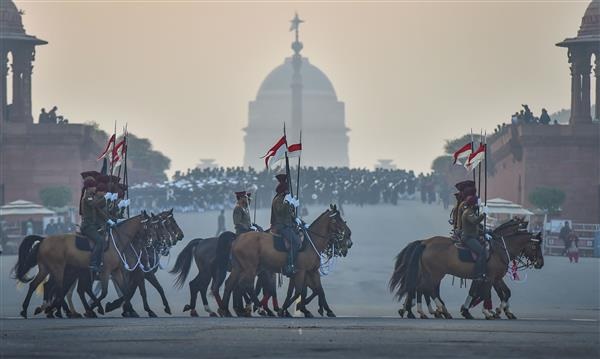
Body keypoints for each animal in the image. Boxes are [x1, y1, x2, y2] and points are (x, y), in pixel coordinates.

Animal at [13, 212, 157, 320]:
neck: (116, 241)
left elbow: (125, 291)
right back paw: (54, 309)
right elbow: (104, 292)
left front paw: (127, 309)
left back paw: (30, 309)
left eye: (153, 225)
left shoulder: (115, 271)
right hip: (58, 268)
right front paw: (97, 308)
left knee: (37, 285)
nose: (150, 241)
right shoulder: (105, 271)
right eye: (148, 225)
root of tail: (44, 239)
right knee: (58, 287)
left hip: (46, 268)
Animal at [218, 205, 354, 318]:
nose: (349, 236)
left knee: (231, 284)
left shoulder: (311, 272)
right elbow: (299, 291)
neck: (311, 242)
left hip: (239, 268)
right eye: (336, 219)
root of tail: (237, 240)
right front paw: (287, 309)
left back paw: (226, 310)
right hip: (250, 268)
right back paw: (257, 308)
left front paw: (324, 310)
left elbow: (318, 290)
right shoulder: (301, 272)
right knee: (246, 286)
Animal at [390, 219, 544, 320]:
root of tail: (425, 243)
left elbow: (504, 293)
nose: (540, 264)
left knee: (421, 288)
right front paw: (489, 312)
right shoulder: (489, 278)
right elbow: (486, 294)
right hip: (435, 274)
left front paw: (502, 311)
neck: (500, 249)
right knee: (426, 289)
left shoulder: (495, 278)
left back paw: (421, 310)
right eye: (535, 246)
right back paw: (437, 310)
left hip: (430, 274)